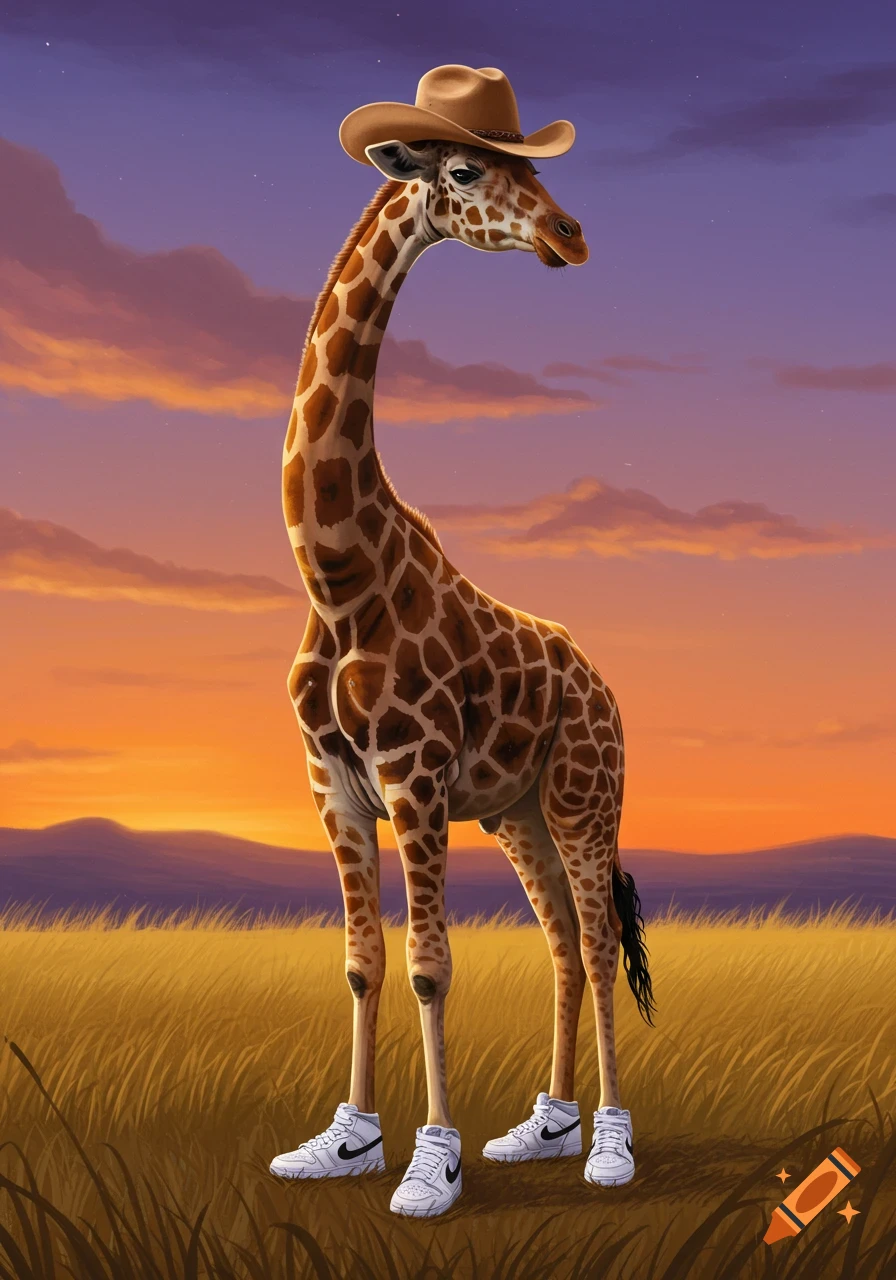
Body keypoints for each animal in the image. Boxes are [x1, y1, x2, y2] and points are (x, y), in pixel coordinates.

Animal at [268, 96, 655, 1219]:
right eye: (462, 171)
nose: (570, 233)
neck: (336, 575)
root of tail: (605, 689)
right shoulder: (333, 783)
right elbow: (362, 963)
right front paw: (342, 1141)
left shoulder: (414, 773)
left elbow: (430, 965)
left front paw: (429, 1165)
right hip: (519, 811)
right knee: (564, 942)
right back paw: (545, 1126)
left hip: (583, 798)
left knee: (599, 943)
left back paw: (608, 1147)